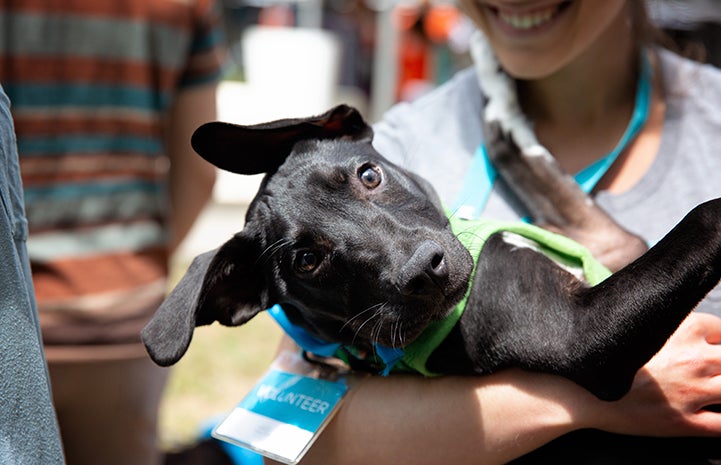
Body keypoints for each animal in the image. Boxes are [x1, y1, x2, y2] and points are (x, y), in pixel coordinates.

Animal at [142, 106, 720, 406]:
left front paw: (509, 133)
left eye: (369, 175)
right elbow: (704, 218)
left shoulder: (620, 247)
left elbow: (569, 199)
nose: (423, 271)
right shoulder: (581, 335)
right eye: (306, 260)